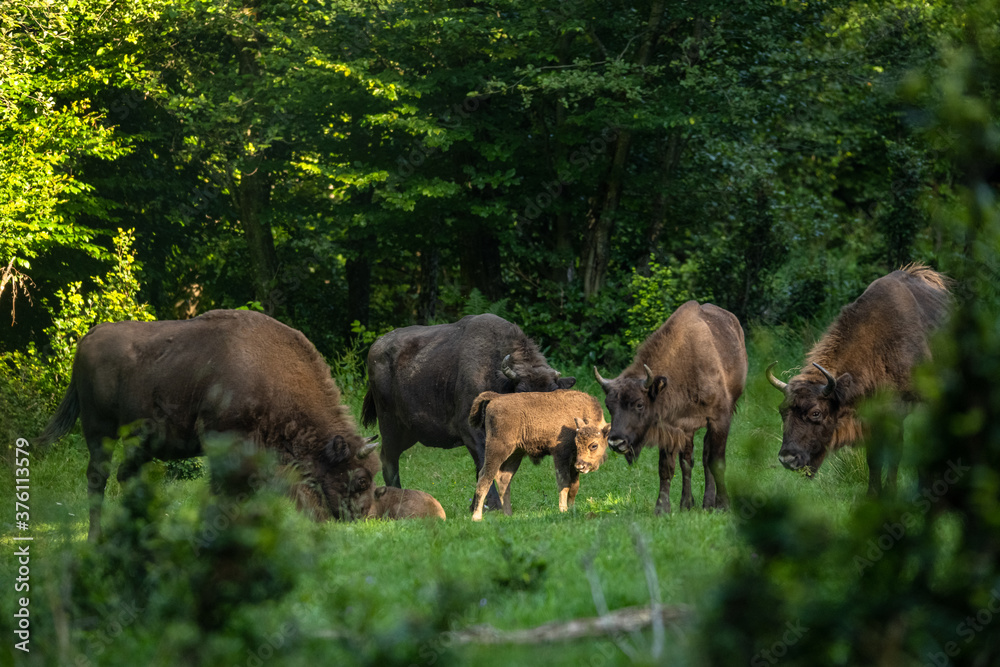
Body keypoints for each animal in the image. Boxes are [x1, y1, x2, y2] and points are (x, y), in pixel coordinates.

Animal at [38, 309, 379, 540]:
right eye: (361, 480)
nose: (365, 518)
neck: (272, 376)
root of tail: (90, 336)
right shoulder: (224, 440)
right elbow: (225, 490)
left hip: (140, 441)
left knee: (127, 475)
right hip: (99, 429)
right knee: (98, 476)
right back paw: (96, 536)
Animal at [362, 313, 575, 511]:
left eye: (554, 397)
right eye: (521, 393)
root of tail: (376, 347)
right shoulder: (471, 432)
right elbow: (484, 465)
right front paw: (492, 505)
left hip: (409, 434)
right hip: (390, 426)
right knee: (388, 459)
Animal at [594, 301, 747, 514]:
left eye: (639, 404)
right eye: (609, 406)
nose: (616, 442)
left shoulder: (720, 419)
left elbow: (716, 462)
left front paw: (723, 505)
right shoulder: (671, 427)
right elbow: (667, 467)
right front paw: (662, 508)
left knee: (705, 455)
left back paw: (708, 502)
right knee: (688, 460)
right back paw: (687, 503)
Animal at [766, 263, 951, 493]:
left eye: (816, 413)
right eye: (782, 410)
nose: (787, 459)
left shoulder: (903, 414)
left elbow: (897, 455)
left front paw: (892, 492)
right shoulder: (871, 419)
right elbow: (874, 459)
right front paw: (873, 493)